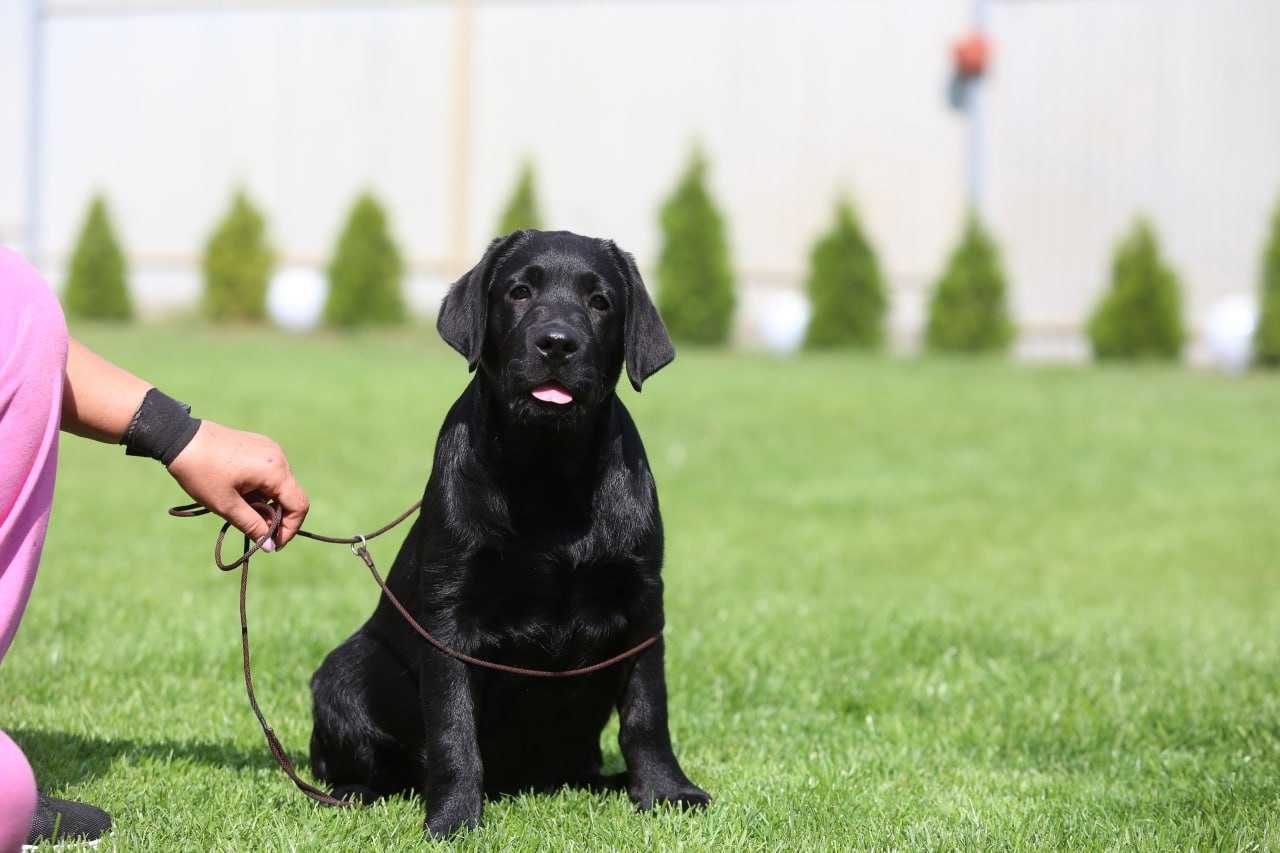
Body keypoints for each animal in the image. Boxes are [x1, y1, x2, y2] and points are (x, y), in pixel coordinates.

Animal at [309, 229, 711, 835]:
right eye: (520, 292)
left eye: (600, 302)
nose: (557, 344)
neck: (548, 476)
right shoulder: (448, 617)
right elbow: (453, 730)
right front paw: (453, 818)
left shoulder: (643, 602)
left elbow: (647, 712)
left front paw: (667, 791)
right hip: (342, 674)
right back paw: (356, 792)